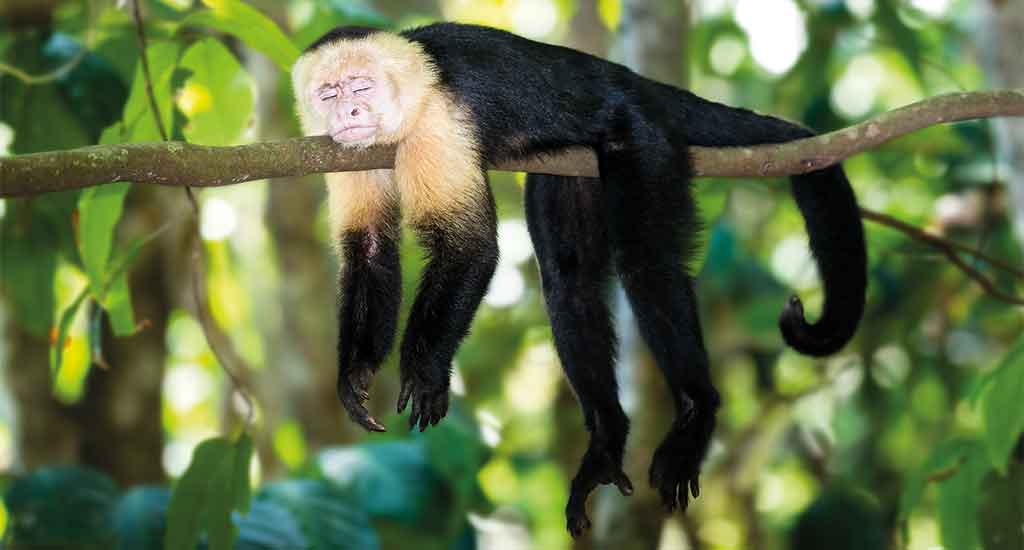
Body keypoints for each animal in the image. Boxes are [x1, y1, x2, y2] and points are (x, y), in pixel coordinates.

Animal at [292, 23, 867, 536]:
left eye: (362, 87)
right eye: (329, 93)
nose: (348, 113)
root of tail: (631, 80)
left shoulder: (437, 124)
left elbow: (468, 249)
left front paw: (425, 371)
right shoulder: (349, 154)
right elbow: (370, 251)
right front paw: (356, 374)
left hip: (643, 136)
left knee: (647, 266)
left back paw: (696, 412)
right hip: (572, 163)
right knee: (567, 283)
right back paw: (607, 441)